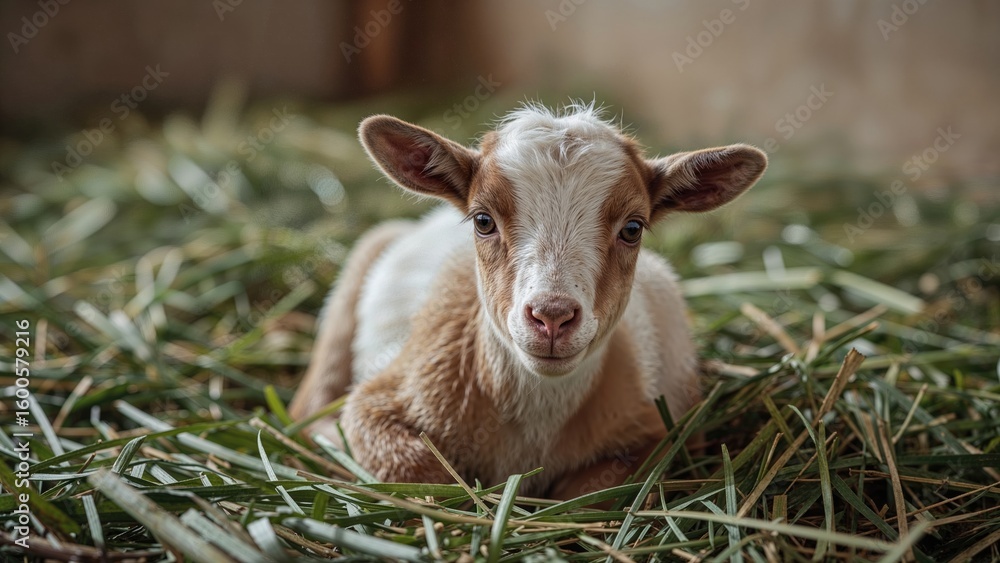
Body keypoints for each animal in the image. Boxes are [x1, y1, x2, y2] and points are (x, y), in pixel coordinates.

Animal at [289, 103, 767, 498]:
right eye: (483, 220)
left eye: (633, 228)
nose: (552, 317)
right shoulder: (381, 400)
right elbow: (427, 475)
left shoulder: (667, 431)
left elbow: (587, 494)